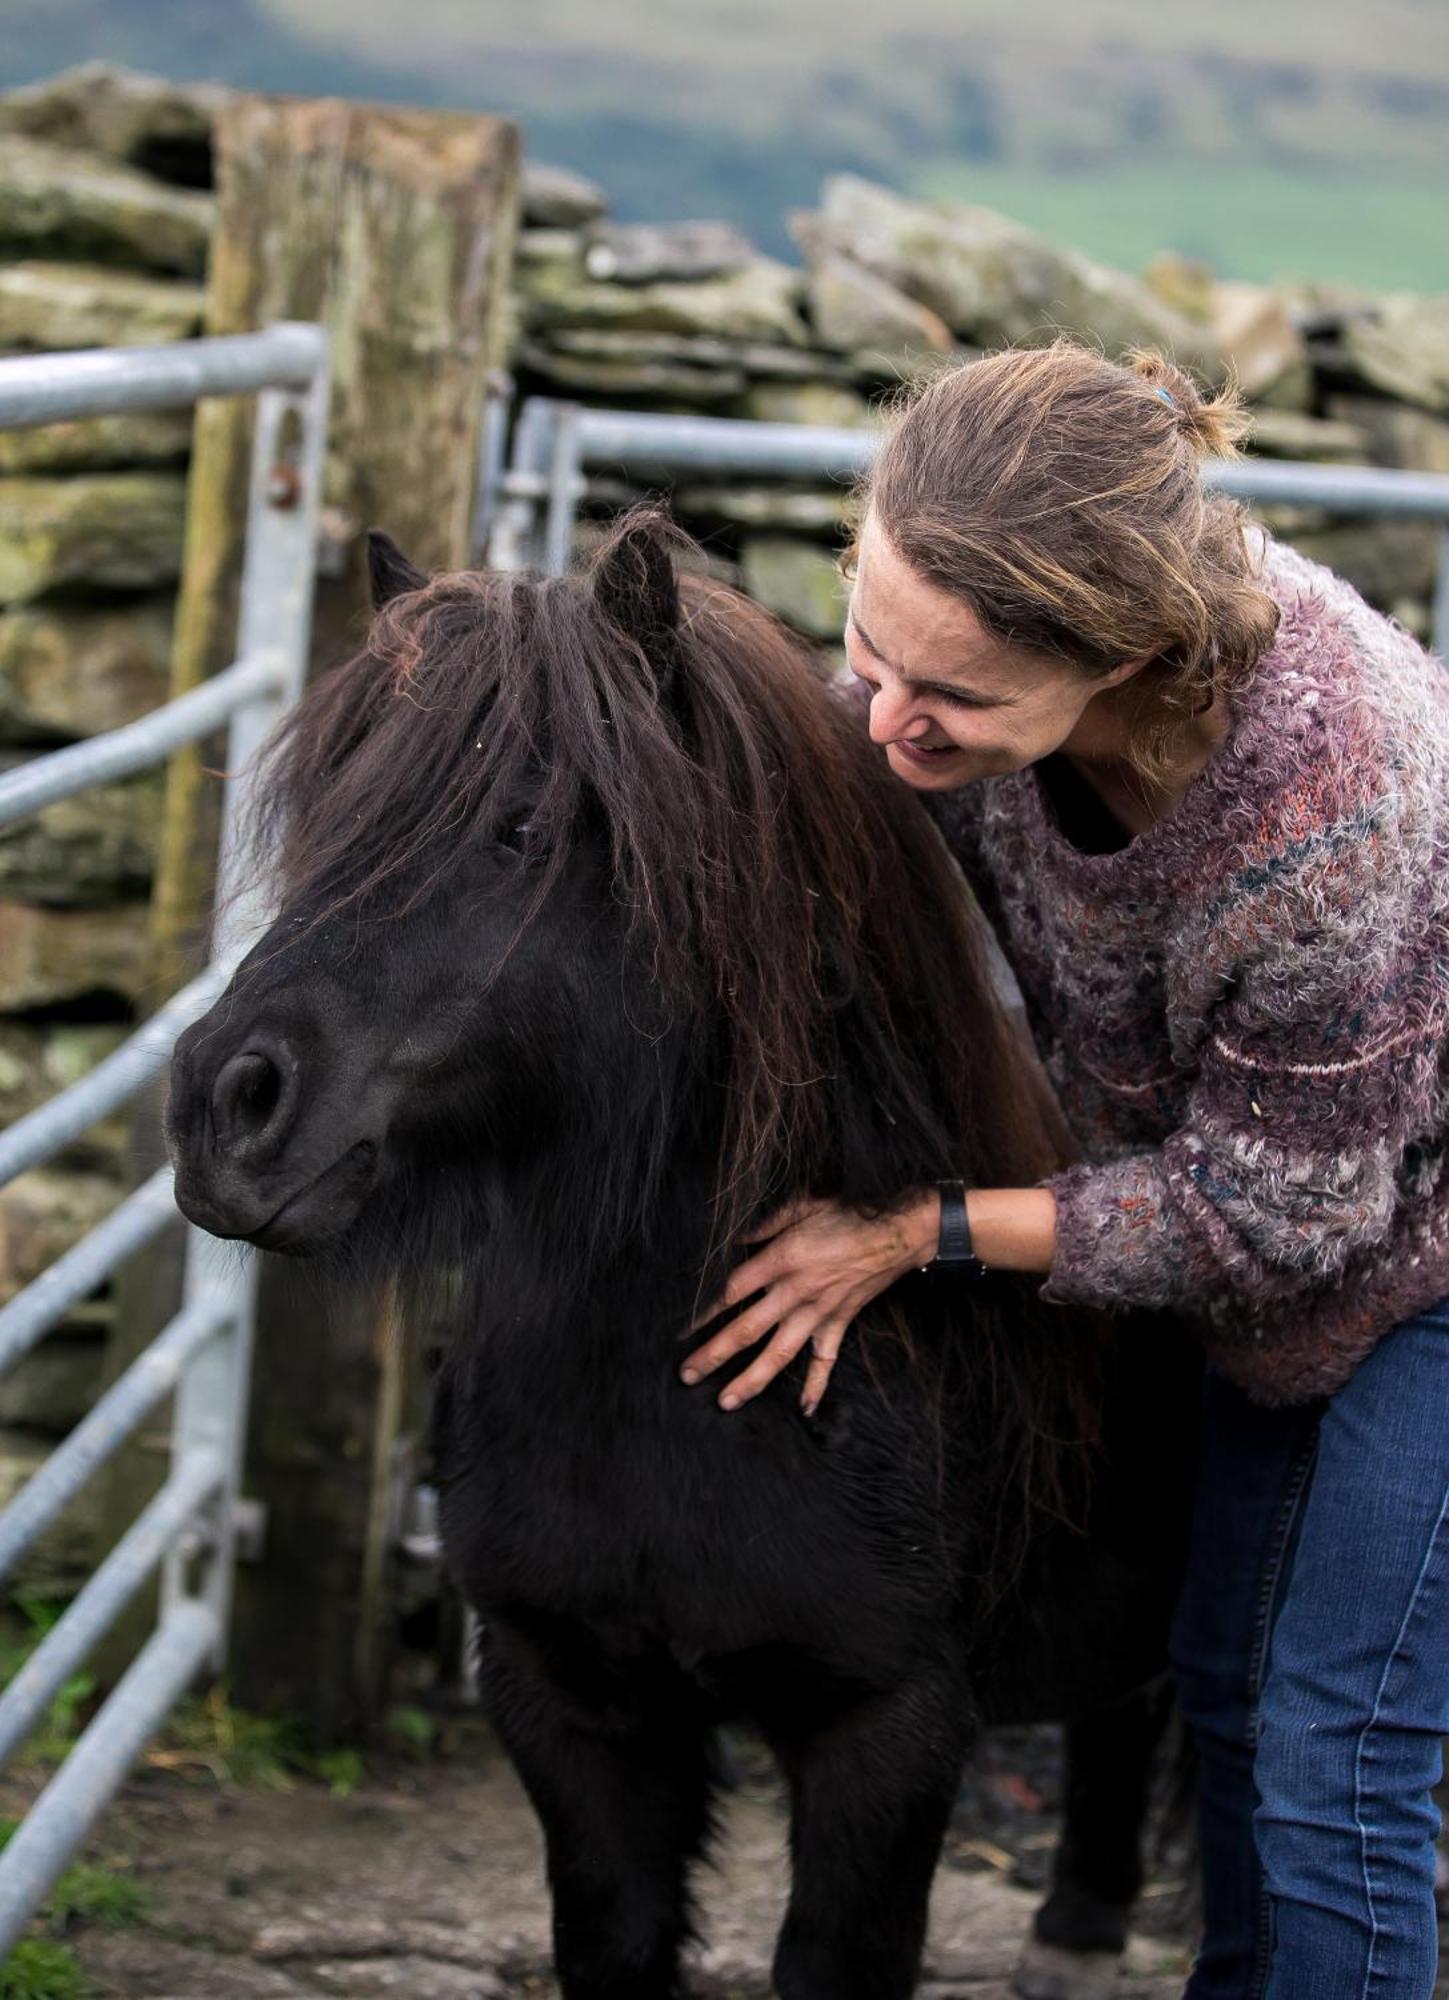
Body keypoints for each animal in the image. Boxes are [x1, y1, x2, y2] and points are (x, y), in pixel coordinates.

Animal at [170, 516, 1192, 2000]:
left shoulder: (886, 1734)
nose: (220, 1105)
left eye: (524, 826)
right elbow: (613, 1936)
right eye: (329, 819)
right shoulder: (569, 1702)